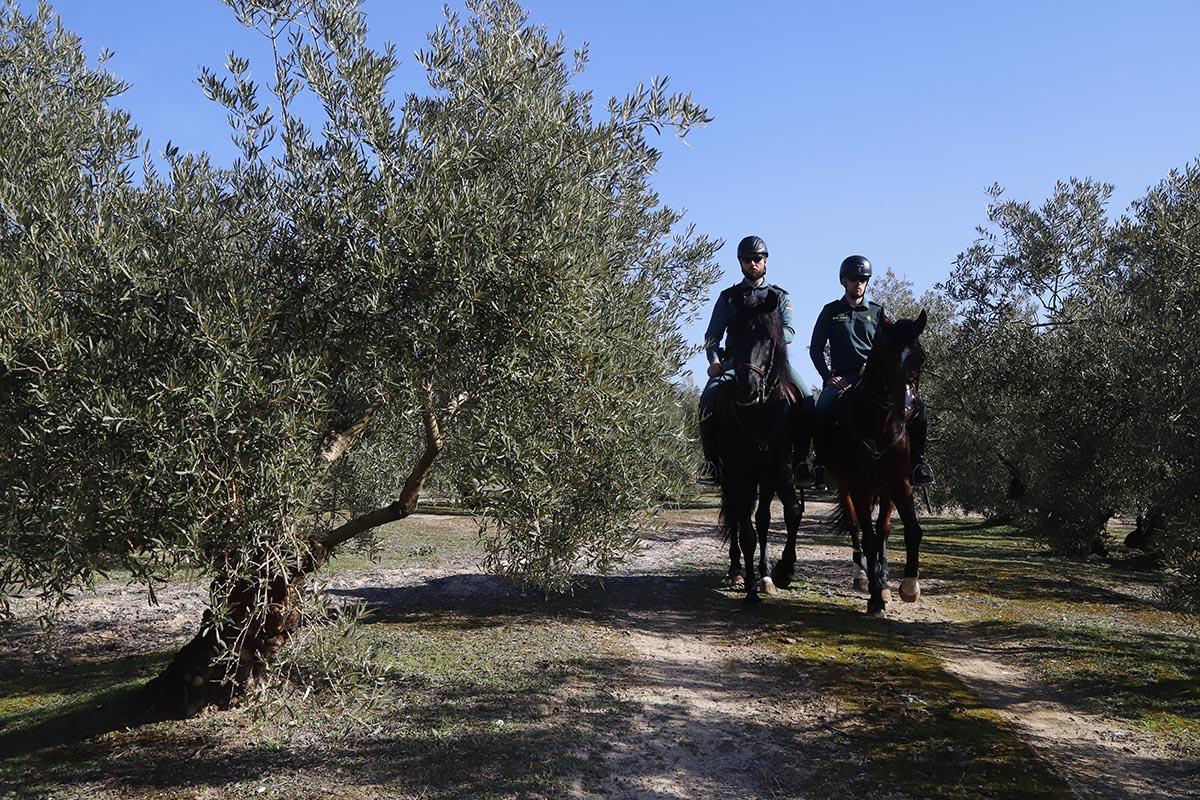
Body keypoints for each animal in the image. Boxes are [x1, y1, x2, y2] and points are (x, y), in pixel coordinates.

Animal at [715, 287, 801, 599]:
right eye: (735, 333)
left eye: (768, 338)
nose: (748, 389)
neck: (760, 413)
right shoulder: (739, 473)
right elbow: (747, 532)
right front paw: (751, 589)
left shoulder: (776, 470)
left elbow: (776, 518)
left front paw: (774, 573)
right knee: (737, 518)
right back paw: (736, 571)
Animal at [816, 309, 926, 618]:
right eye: (886, 354)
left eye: (921, 357)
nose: (909, 409)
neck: (879, 427)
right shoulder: (861, 488)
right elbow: (868, 538)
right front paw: (875, 599)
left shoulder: (900, 484)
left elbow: (911, 530)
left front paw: (907, 586)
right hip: (846, 487)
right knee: (856, 528)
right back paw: (863, 576)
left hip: (886, 490)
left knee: (884, 530)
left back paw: (884, 578)